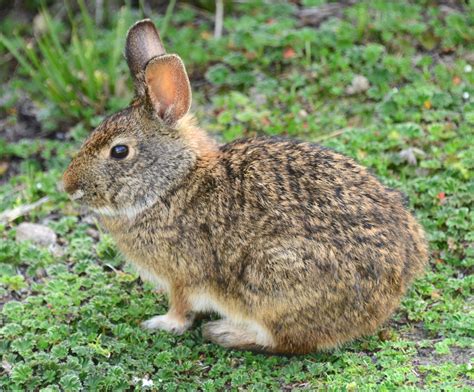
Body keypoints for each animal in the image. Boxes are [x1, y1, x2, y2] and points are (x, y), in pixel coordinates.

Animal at [61, 19, 428, 356]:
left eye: (119, 151)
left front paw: (162, 323)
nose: (68, 186)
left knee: (287, 341)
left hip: (271, 281)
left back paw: (224, 332)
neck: (172, 184)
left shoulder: (182, 276)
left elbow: (181, 308)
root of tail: (397, 282)